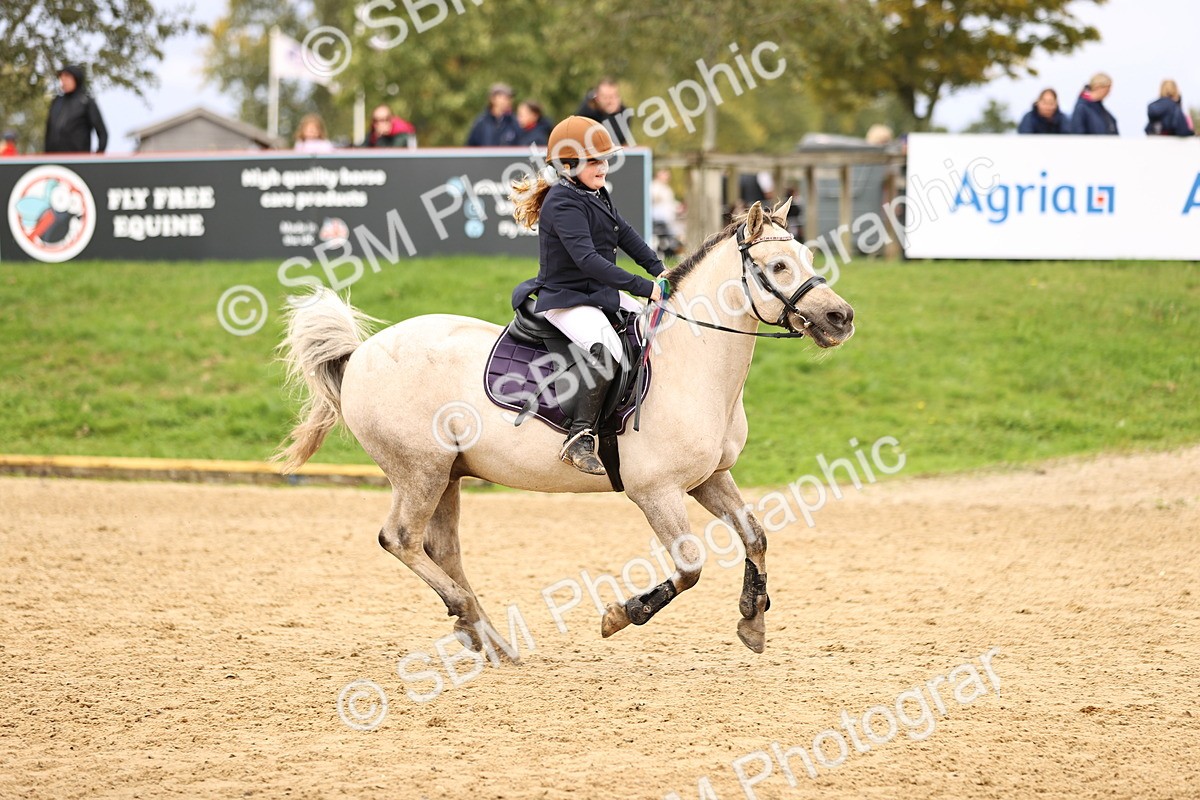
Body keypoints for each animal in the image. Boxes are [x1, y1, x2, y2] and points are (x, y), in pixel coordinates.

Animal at [275, 198, 854, 654]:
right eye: (778, 265)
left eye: (806, 258)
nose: (841, 318)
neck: (694, 362)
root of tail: (361, 354)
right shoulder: (656, 491)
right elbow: (690, 567)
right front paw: (620, 616)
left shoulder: (709, 479)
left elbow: (755, 535)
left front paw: (752, 621)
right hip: (419, 470)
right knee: (399, 539)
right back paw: (469, 616)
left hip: (448, 475)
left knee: (440, 550)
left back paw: (488, 637)